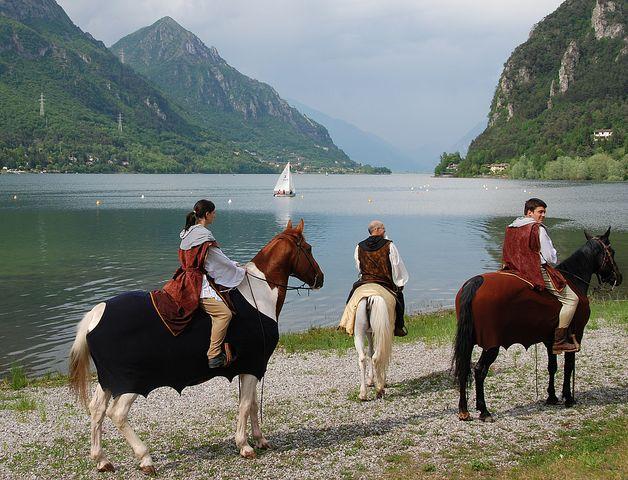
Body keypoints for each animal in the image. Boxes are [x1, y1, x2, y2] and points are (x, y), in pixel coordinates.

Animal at [68, 219, 324, 474]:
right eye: (308, 248)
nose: (320, 278)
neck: (259, 297)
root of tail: (97, 314)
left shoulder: (249, 367)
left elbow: (250, 404)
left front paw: (259, 439)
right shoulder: (252, 365)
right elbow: (245, 405)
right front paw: (244, 445)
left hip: (108, 381)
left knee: (97, 409)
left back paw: (101, 459)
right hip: (131, 382)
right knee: (117, 413)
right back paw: (145, 457)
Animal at [452, 228, 624, 420]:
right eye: (612, 252)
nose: (618, 277)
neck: (573, 279)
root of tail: (476, 282)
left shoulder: (550, 341)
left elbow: (552, 367)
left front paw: (552, 396)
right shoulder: (576, 335)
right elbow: (569, 366)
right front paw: (568, 397)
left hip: (468, 342)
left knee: (463, 369)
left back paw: (464, 410)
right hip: (491, 346)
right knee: (479, 371)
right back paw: (484, 410)